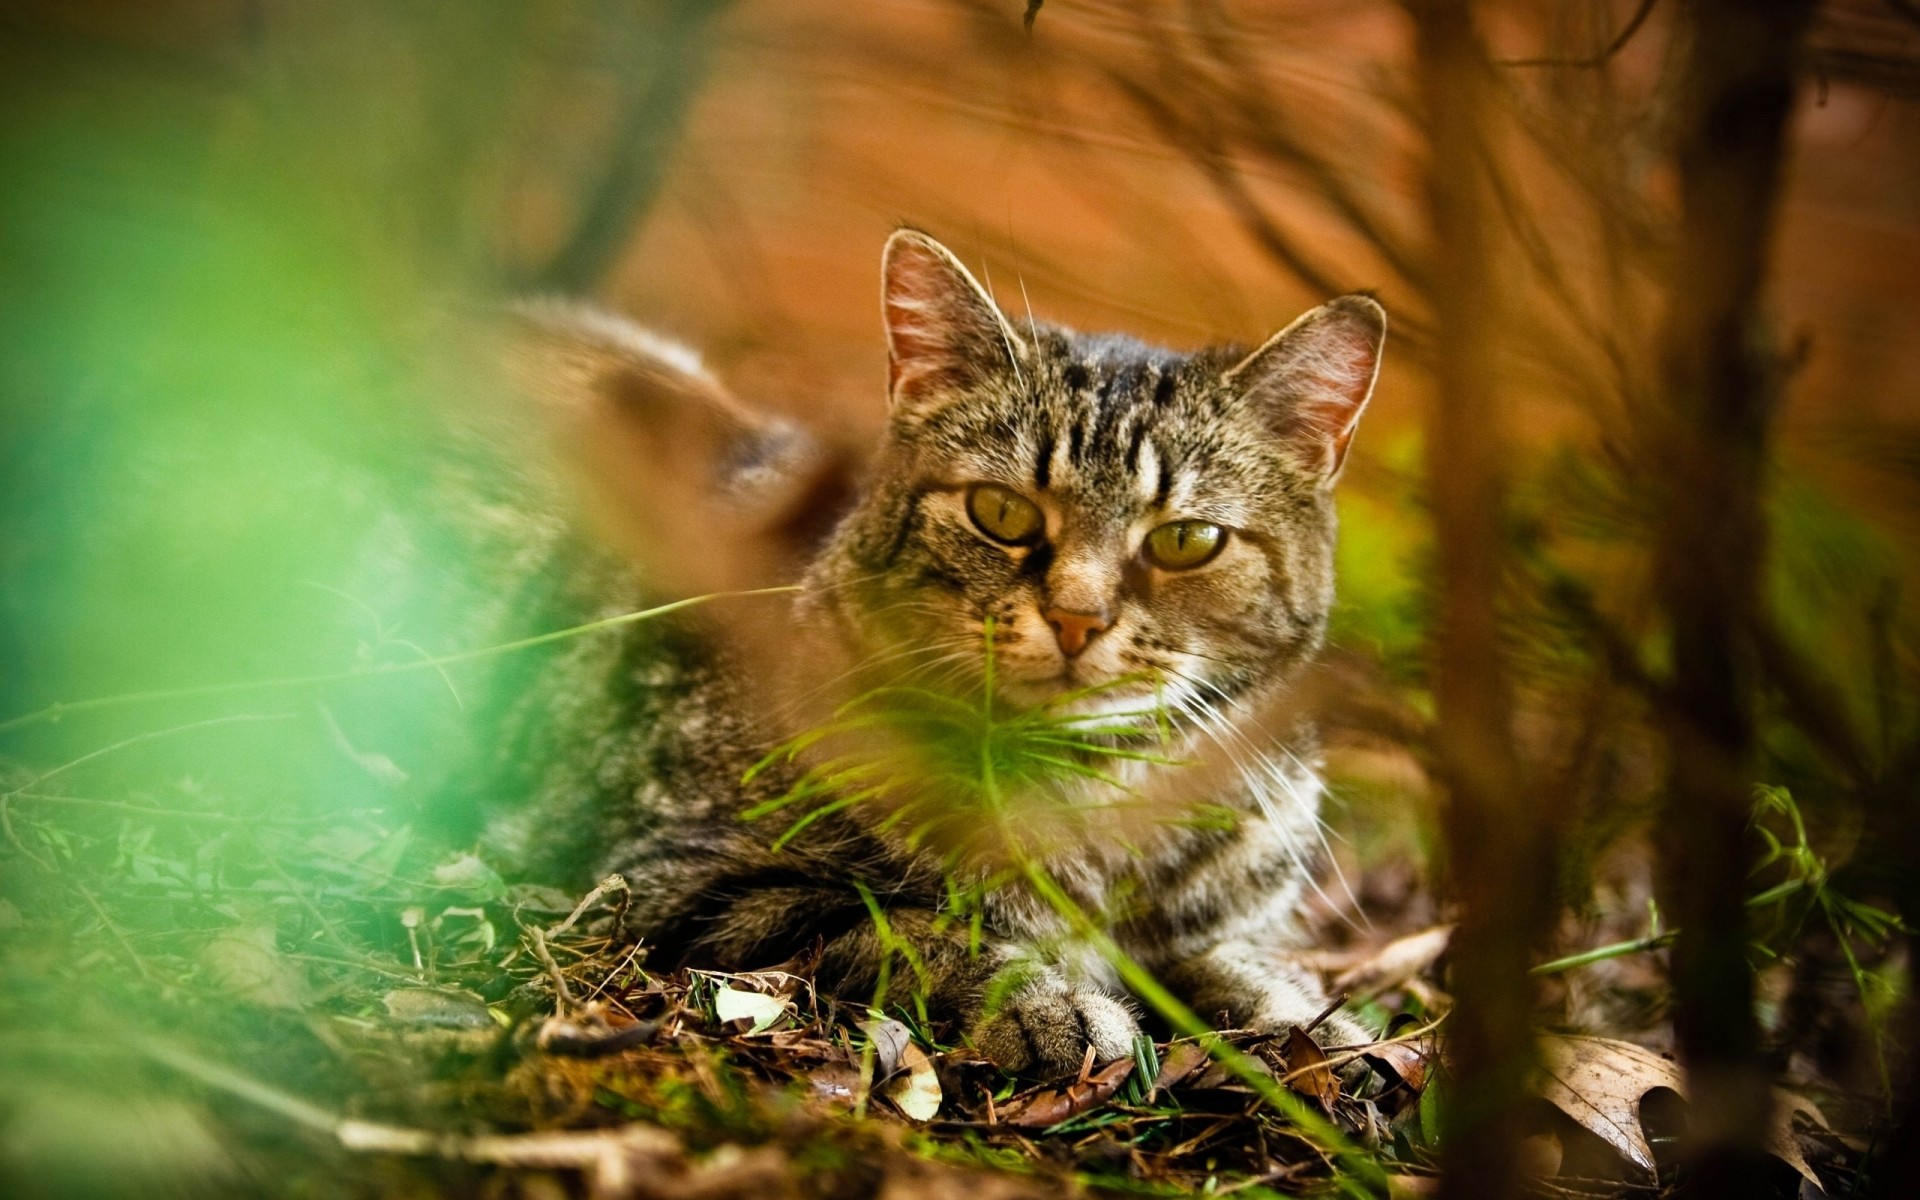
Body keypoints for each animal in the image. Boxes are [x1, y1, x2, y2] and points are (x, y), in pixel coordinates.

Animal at [474, 229, 1390, 1075]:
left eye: (1187, 540)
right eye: (1001, 512)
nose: (1076, 617)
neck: (1099, 788)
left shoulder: (1223, 921)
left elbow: (1230, 963)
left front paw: (1316, 1029)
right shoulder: (685, 879)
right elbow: (915, 927)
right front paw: (1047, 1006)